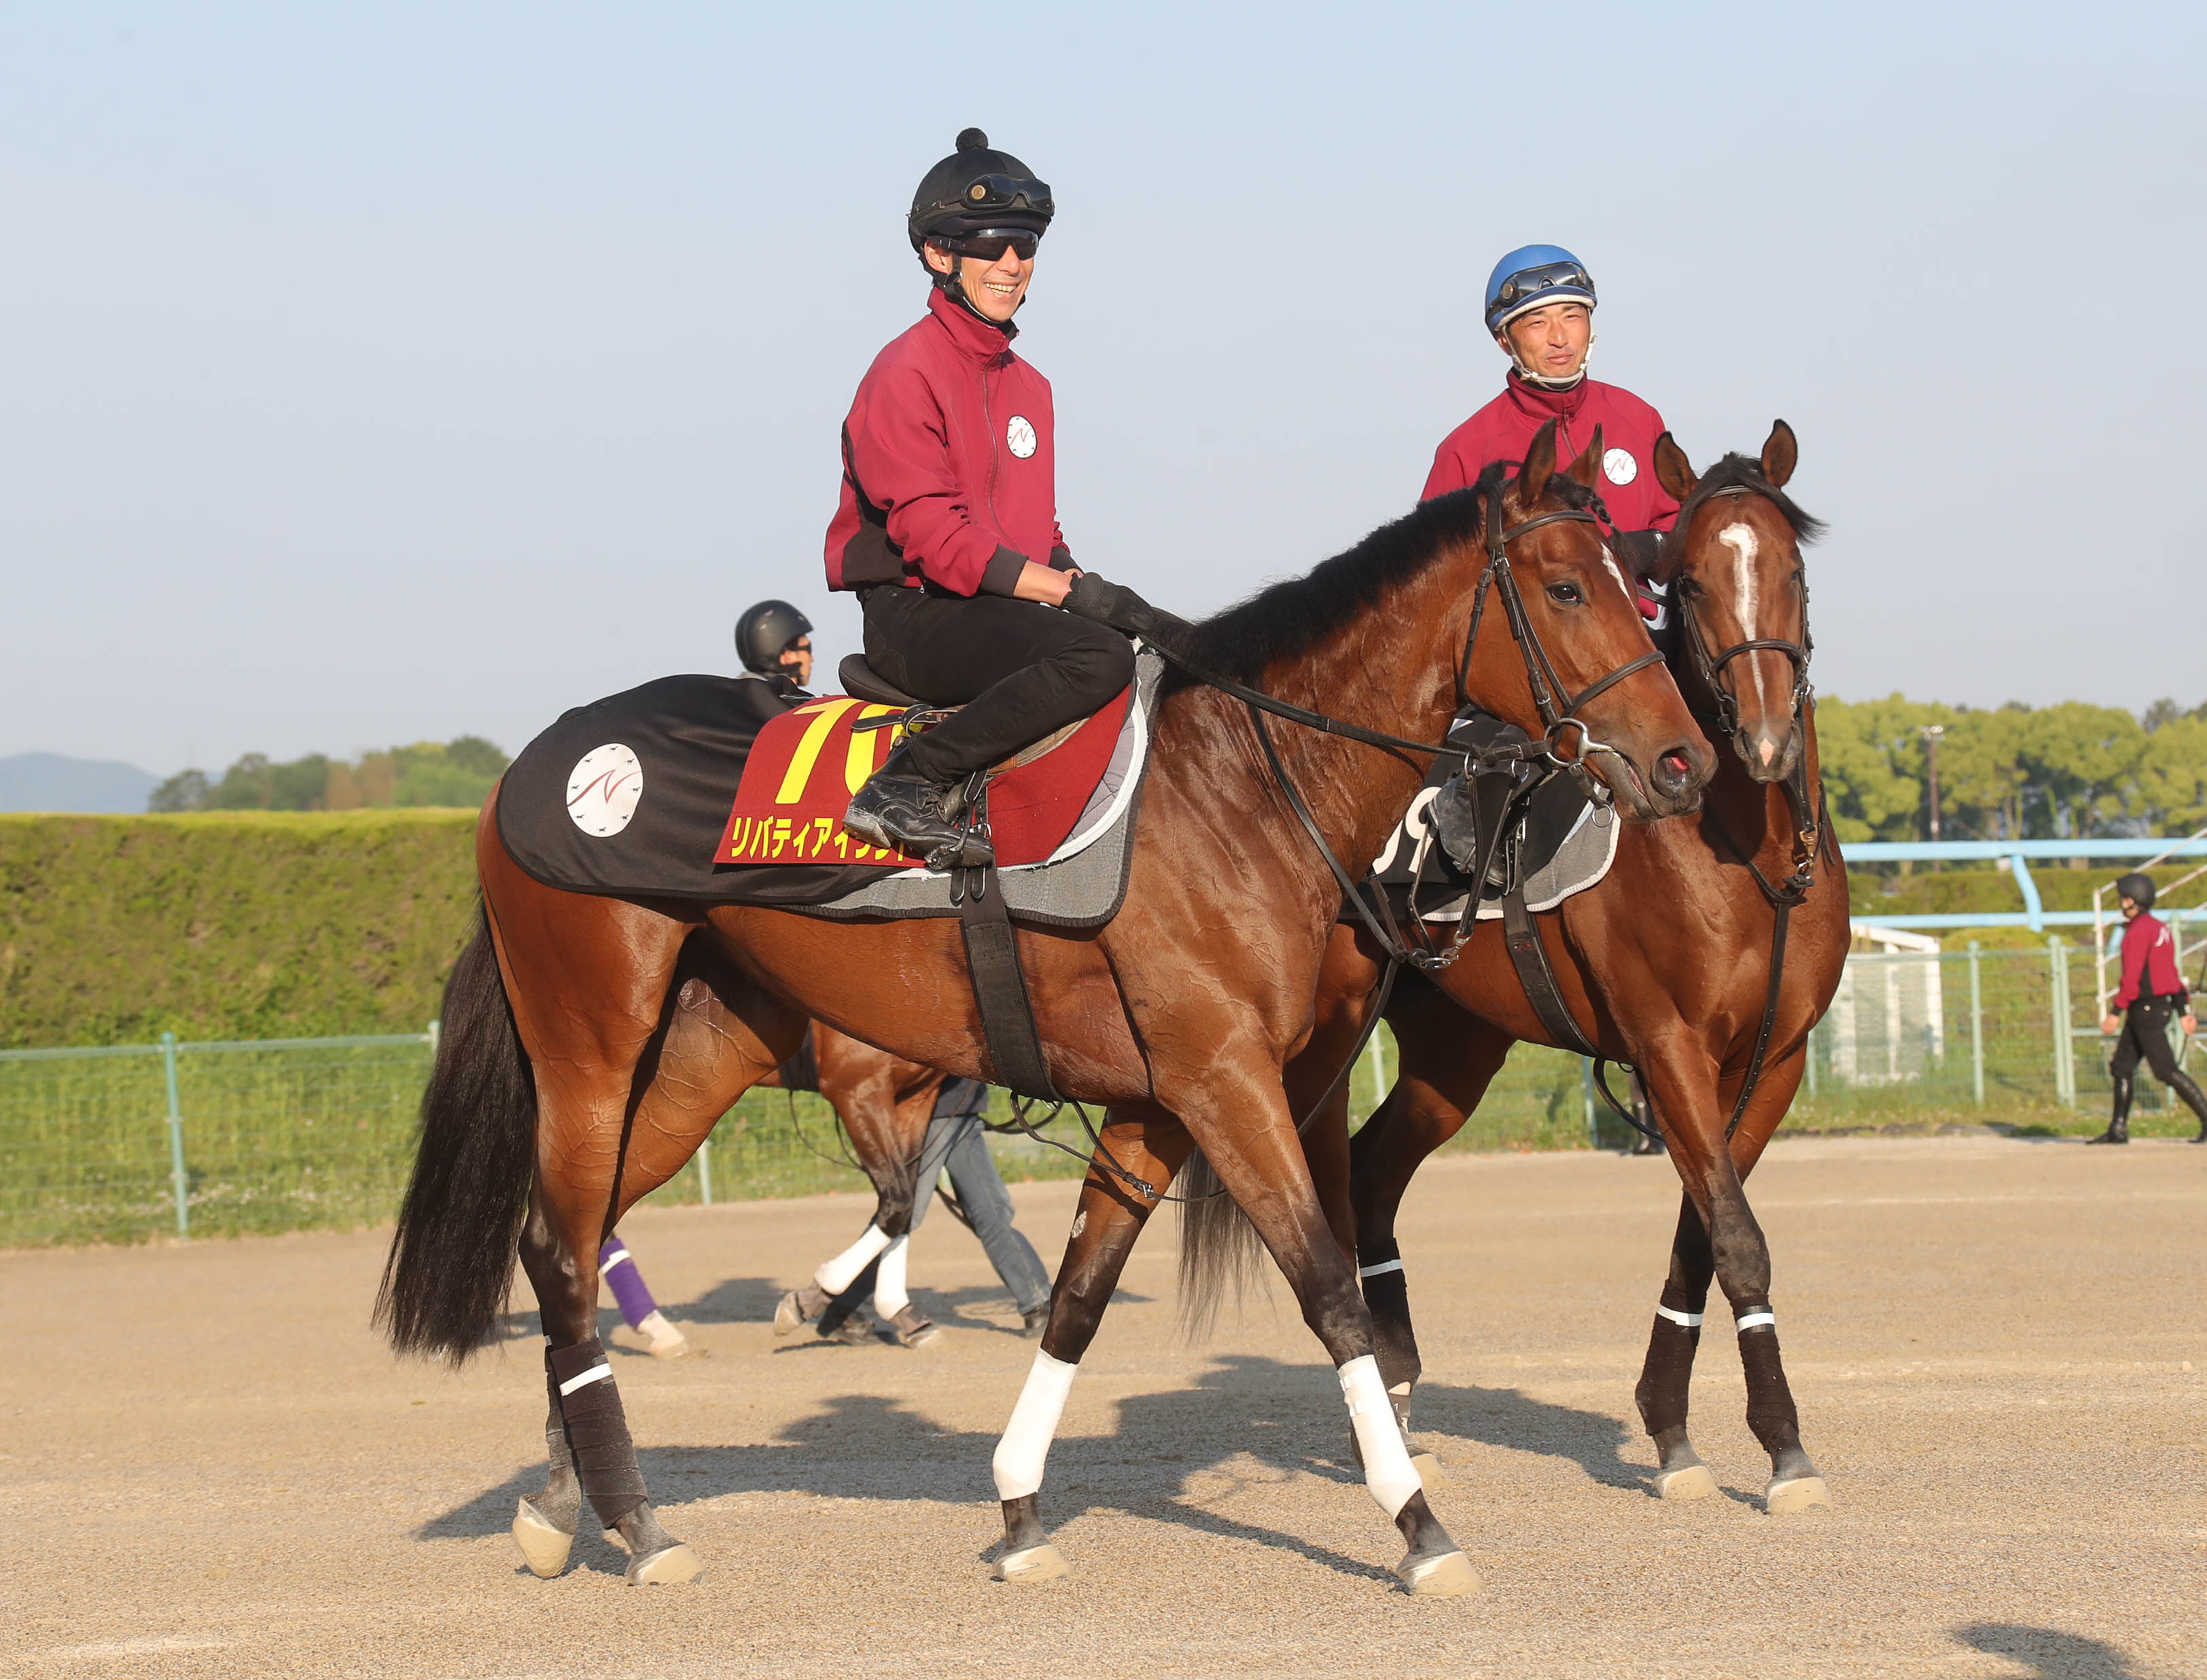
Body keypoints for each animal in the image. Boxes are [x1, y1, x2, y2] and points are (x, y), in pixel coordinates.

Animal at [375, 420, 1715, 1595]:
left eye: (1636, 578)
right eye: (1563, 586)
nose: (1683, 763)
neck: (1236, 783)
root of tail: (534, 762)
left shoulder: (1160, 1104)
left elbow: (1074, 1296)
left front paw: (1019, 1505)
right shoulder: (1225, 1084)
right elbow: (1328, 1287)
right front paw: (1418, 1524)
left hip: (698, 1056)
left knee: (571, 1246)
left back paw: (565, 1502)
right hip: (592, 1049)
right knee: (561, 1250)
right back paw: (637, 1522)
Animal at [1183, 420, 1847, 1513]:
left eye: (1791, 569)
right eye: (1690, 581)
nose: (1754, 737)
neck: (1739, 851)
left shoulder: (1773, 1062)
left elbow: (1703, 1235)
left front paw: (1672, 1429)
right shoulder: (1668, 1048)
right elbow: (1739, 1242)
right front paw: (1784, 1446)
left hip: (1454, 1055)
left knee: (1374, 1179)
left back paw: (1401, 1394)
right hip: (1318, 1051)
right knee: (1333, 1193)